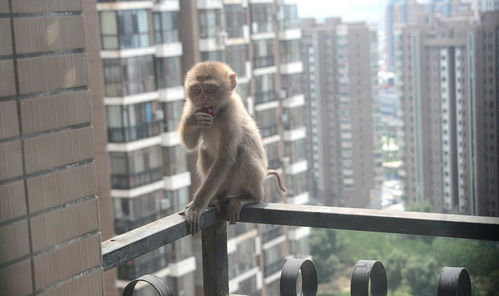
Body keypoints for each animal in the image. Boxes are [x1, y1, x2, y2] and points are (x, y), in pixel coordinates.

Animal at [178, 61, 288, 234]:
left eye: (210, 89)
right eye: (196, 90)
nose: (203, 99)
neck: (218, 112)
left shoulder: (230, 112)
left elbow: (225, 158)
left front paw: (196, 207)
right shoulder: (192, 106)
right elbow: (190, 144)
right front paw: (193, 121)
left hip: (239, 182)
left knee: (242, 151)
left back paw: (251, 197)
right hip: (224, 184)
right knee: (204, 149)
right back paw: (216, 197)